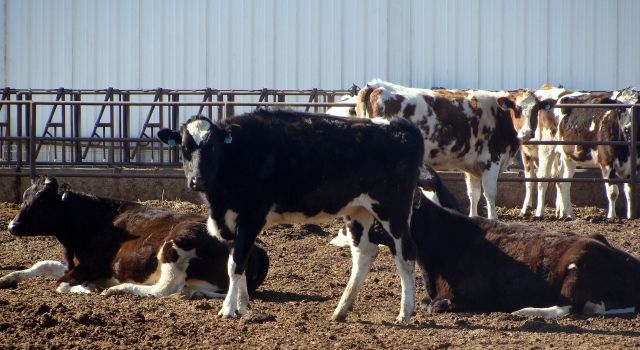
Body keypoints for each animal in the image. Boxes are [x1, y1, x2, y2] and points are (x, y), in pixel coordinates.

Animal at [0, 178, 270, 298]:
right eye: (24, 197)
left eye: (43, 202)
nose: (12, 226)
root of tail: (257, 249)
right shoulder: (74, 263)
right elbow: (42, 264)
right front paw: (9, 277)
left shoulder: (90, 266)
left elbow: (62, 284)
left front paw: (87, 288)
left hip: (176, 245)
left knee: (164, 288)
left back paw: (117, 289)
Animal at [158, 110, 424, 322]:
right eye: (184, 148)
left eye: (212, 146)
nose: (197, 181)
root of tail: (399, 125)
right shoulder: (232, 224)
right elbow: (237, 263)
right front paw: (243, 307)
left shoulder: (250, 218)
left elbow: (235, 265)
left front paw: (228, 309)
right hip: (358, 210)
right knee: (364, 255)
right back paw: (341, 310)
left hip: (394, 210)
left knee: (406, 255)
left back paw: (405, 313)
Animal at [356, 80, 552, 220]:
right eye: (517, 109)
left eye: (536, 110)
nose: (527, 132)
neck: (499, 115)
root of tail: (376, 86)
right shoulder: (491, 161)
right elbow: (490, 194)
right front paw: (494, 219)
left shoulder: (473, 166)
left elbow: (474, 194)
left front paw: (474, 217)